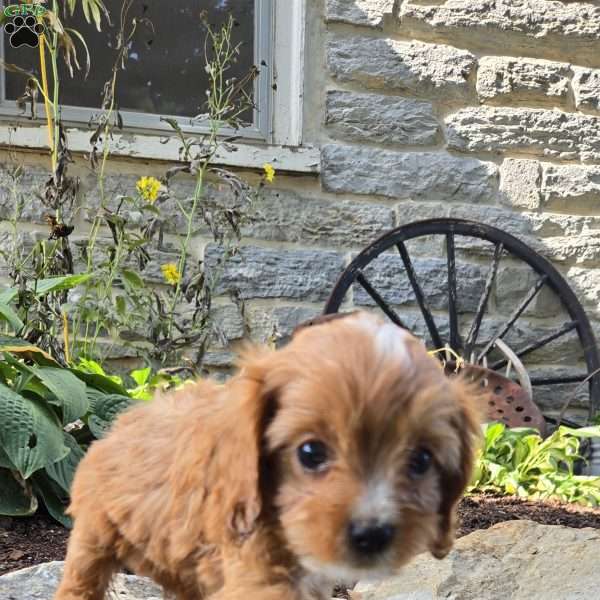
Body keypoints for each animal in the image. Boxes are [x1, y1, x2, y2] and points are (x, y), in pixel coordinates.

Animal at [54, 312, 480, 600]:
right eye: (310, 452)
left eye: (421, 460)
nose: (372, 534)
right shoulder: (253, 567)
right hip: (94, 534)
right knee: (80, 580)